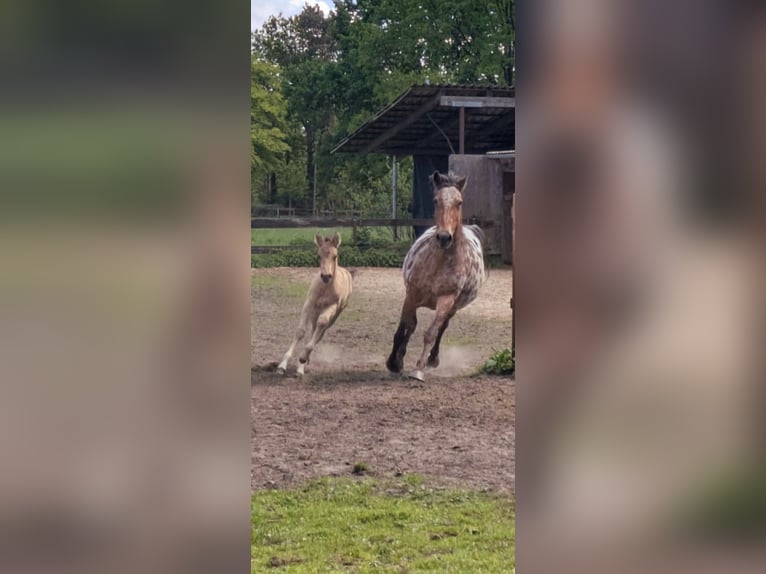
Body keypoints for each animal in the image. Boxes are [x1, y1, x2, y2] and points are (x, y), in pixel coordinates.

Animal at [277, 232, 353, 376]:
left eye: (335, 256)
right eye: (319, 255)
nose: (326, 276)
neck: (325, 288)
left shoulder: (331, 307)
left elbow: (319, 327)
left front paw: (302, 358)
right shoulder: (309, 303)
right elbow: (300, 331)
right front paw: (282, 365)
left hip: (332, 318)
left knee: (318, 334)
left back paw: (302, 363)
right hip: (314, 313)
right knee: (312, 332)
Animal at [386, 170, 486, 381]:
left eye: (459, 202)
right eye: (436, 200)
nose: (444, 237)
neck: (439, 263)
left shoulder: (446, 300)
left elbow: (431, 333)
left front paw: (418, 369)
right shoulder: (411, 295)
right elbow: (406, 327)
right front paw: (394, 362)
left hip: (454, 307)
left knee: (442, 328)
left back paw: (433, 359)